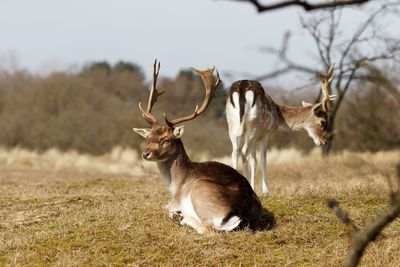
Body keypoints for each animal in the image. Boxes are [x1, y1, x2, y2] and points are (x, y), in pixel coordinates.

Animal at [134, 60, 262, 234]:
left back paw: (184, 219)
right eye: (148, 138)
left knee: (208, 229)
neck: (175, 184)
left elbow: (164, 208)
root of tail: (240, 213)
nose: (146, 154)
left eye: (166, 139)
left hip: (199, 191)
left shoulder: (175, 200)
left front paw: (176, 215)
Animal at [227, 65, 336, 195]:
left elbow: (254, 160)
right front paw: (265, 191)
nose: (324, 141)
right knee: (244, 151)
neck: (277, 113)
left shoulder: (254, 138)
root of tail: (242, 89)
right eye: (322, 122)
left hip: (232, 126)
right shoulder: (266, 134)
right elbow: (262, 159)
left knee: (235, 152)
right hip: (253, 126)